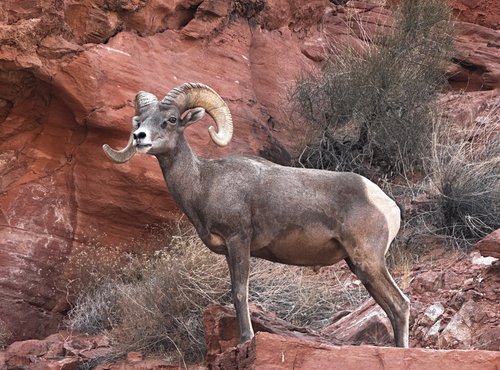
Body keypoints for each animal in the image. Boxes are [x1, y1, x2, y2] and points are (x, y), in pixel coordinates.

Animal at [102, 81, 410, 346]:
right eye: (140, 121)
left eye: (172, 119)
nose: (139, 138)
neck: (205, 183)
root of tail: (387, 205)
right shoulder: (229, 251)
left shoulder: (239, 241)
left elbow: (240, 292)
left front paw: (245, 339)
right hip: (358, 266)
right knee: (392, 309)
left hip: (369, 261)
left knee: (400, 305)